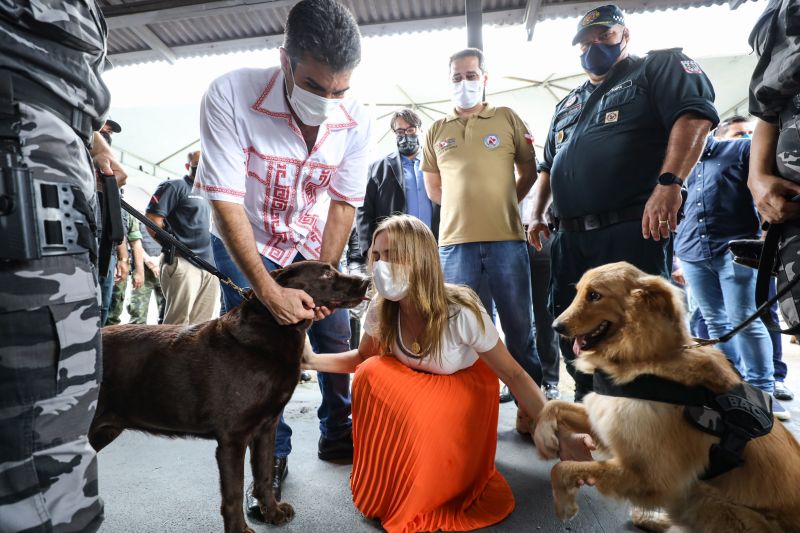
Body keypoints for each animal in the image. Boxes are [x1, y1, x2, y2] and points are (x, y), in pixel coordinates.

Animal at [532, 262, 800, 532]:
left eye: (595, 295)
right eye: (579, 291)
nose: (555, 326)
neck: (641, 358)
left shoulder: (650, 476)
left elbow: (563, 467)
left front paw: (564, 504)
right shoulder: (604, 420)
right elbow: (553, 406)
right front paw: (545, 438)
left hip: (706, 499)